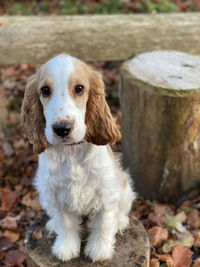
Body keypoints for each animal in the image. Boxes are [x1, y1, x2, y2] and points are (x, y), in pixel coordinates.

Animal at [21, 55, 135, 264]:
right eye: (45, 90)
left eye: (79, 88)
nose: (62, 129)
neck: (71, 153)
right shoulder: (55, 194)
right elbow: (65, 224)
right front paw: (66, 248)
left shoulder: (106, 192)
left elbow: (103, 223)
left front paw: (99, 250)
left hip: (124, 187)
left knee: (122, 209)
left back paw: (121, 221)